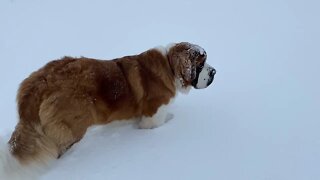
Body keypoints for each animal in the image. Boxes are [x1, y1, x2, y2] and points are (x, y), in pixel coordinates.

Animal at [0, 42, 216, 179]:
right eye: (201, 64)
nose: (214, 72)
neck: (169, 67)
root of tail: (39, 83)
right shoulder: (152, 117)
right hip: (72, 128)